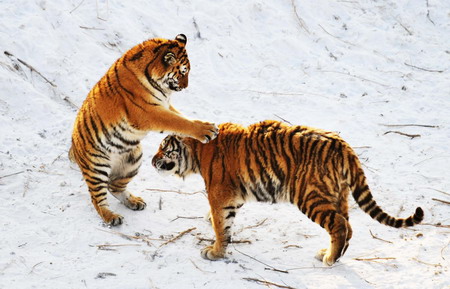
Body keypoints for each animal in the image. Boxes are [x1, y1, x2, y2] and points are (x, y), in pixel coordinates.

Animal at [69, 34, 219, 225]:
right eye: (183, 72)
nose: (186, 86)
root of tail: (73, 149)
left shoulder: (164, 105)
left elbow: (182, 118)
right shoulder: (149, 113)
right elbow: (178, 122)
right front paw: (206, 130)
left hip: (133, 159)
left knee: (114, 186)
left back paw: (134, 202)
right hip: (96, 167)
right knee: (97, 198)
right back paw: (111, 217)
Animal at [153, 120, 424, 266]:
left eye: (164, 149)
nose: (153, 161)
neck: (198, 153)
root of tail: (343, 145)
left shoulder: (220, 195)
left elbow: (222, 228)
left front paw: (215, 252)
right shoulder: (234, 196)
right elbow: (222, 221)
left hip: (311, 196)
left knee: (338, 225)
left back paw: (329, 259)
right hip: (339, 194)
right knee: (348, 225)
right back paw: (330, 254)